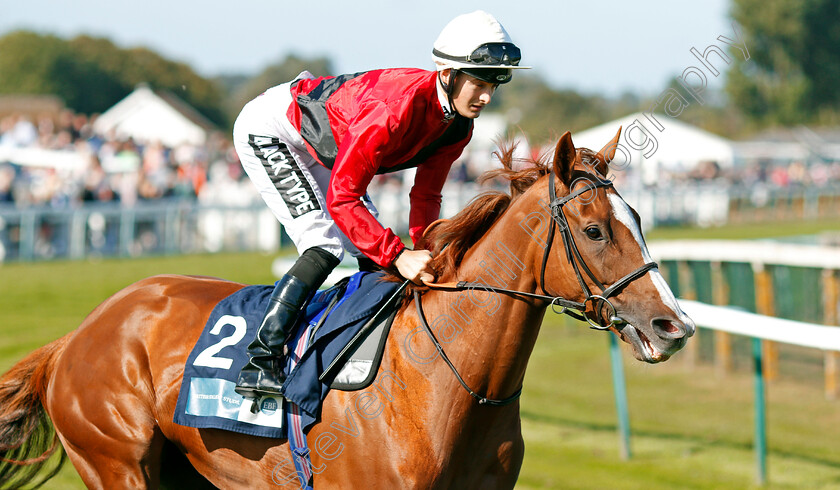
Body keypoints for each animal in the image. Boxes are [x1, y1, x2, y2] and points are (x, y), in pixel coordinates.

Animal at [1, 129, 696, 486]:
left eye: (638, 218)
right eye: (595, 230)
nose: (675, 325)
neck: (453, 383)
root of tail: (76, 337)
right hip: (117, 461)